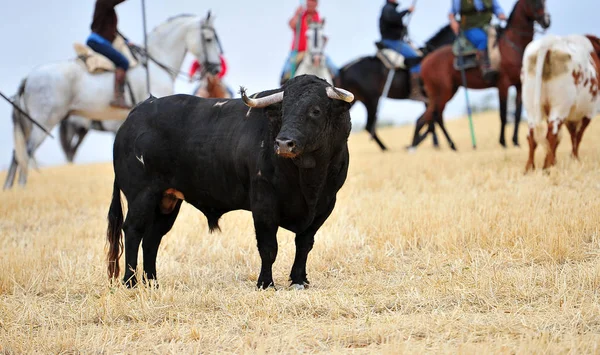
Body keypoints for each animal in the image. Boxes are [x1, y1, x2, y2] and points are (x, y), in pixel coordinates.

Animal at [5, 11, 223, 189]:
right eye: (209, 38)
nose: (216, 68)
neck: (154, 63)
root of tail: (28, 78)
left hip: (32, 123)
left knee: (18, 153)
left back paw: (10, 190)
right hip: (44, 121)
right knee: (27, 151)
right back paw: (23, 188)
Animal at [106, 75, 354, 290]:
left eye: (316, 110)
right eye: (284, 110)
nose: (283, 143)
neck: (308, 178)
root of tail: (138, 111)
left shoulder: (324, 205)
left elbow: (304, 244)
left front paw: (299, 280)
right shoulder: (264, 203)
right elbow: (268, 247)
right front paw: (266, 284)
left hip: (167, 199)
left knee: (152, 238)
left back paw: (153, 283)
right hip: (142, 195)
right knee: (133, 230)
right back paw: (130, 282)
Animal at [410, 0, 552, 151]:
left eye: (545, 1)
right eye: (534, 2)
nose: (547, 21)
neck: (512, 46)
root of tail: (424, 62)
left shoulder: (519, 85)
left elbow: (518, 114)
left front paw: (515, 142)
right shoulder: (503, 84)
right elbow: (503, 114)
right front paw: (503, 142)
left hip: (447, 92)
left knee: (431, 117)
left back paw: (448, 145)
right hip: (442, 92)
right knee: (434, 116)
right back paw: (446, 145)